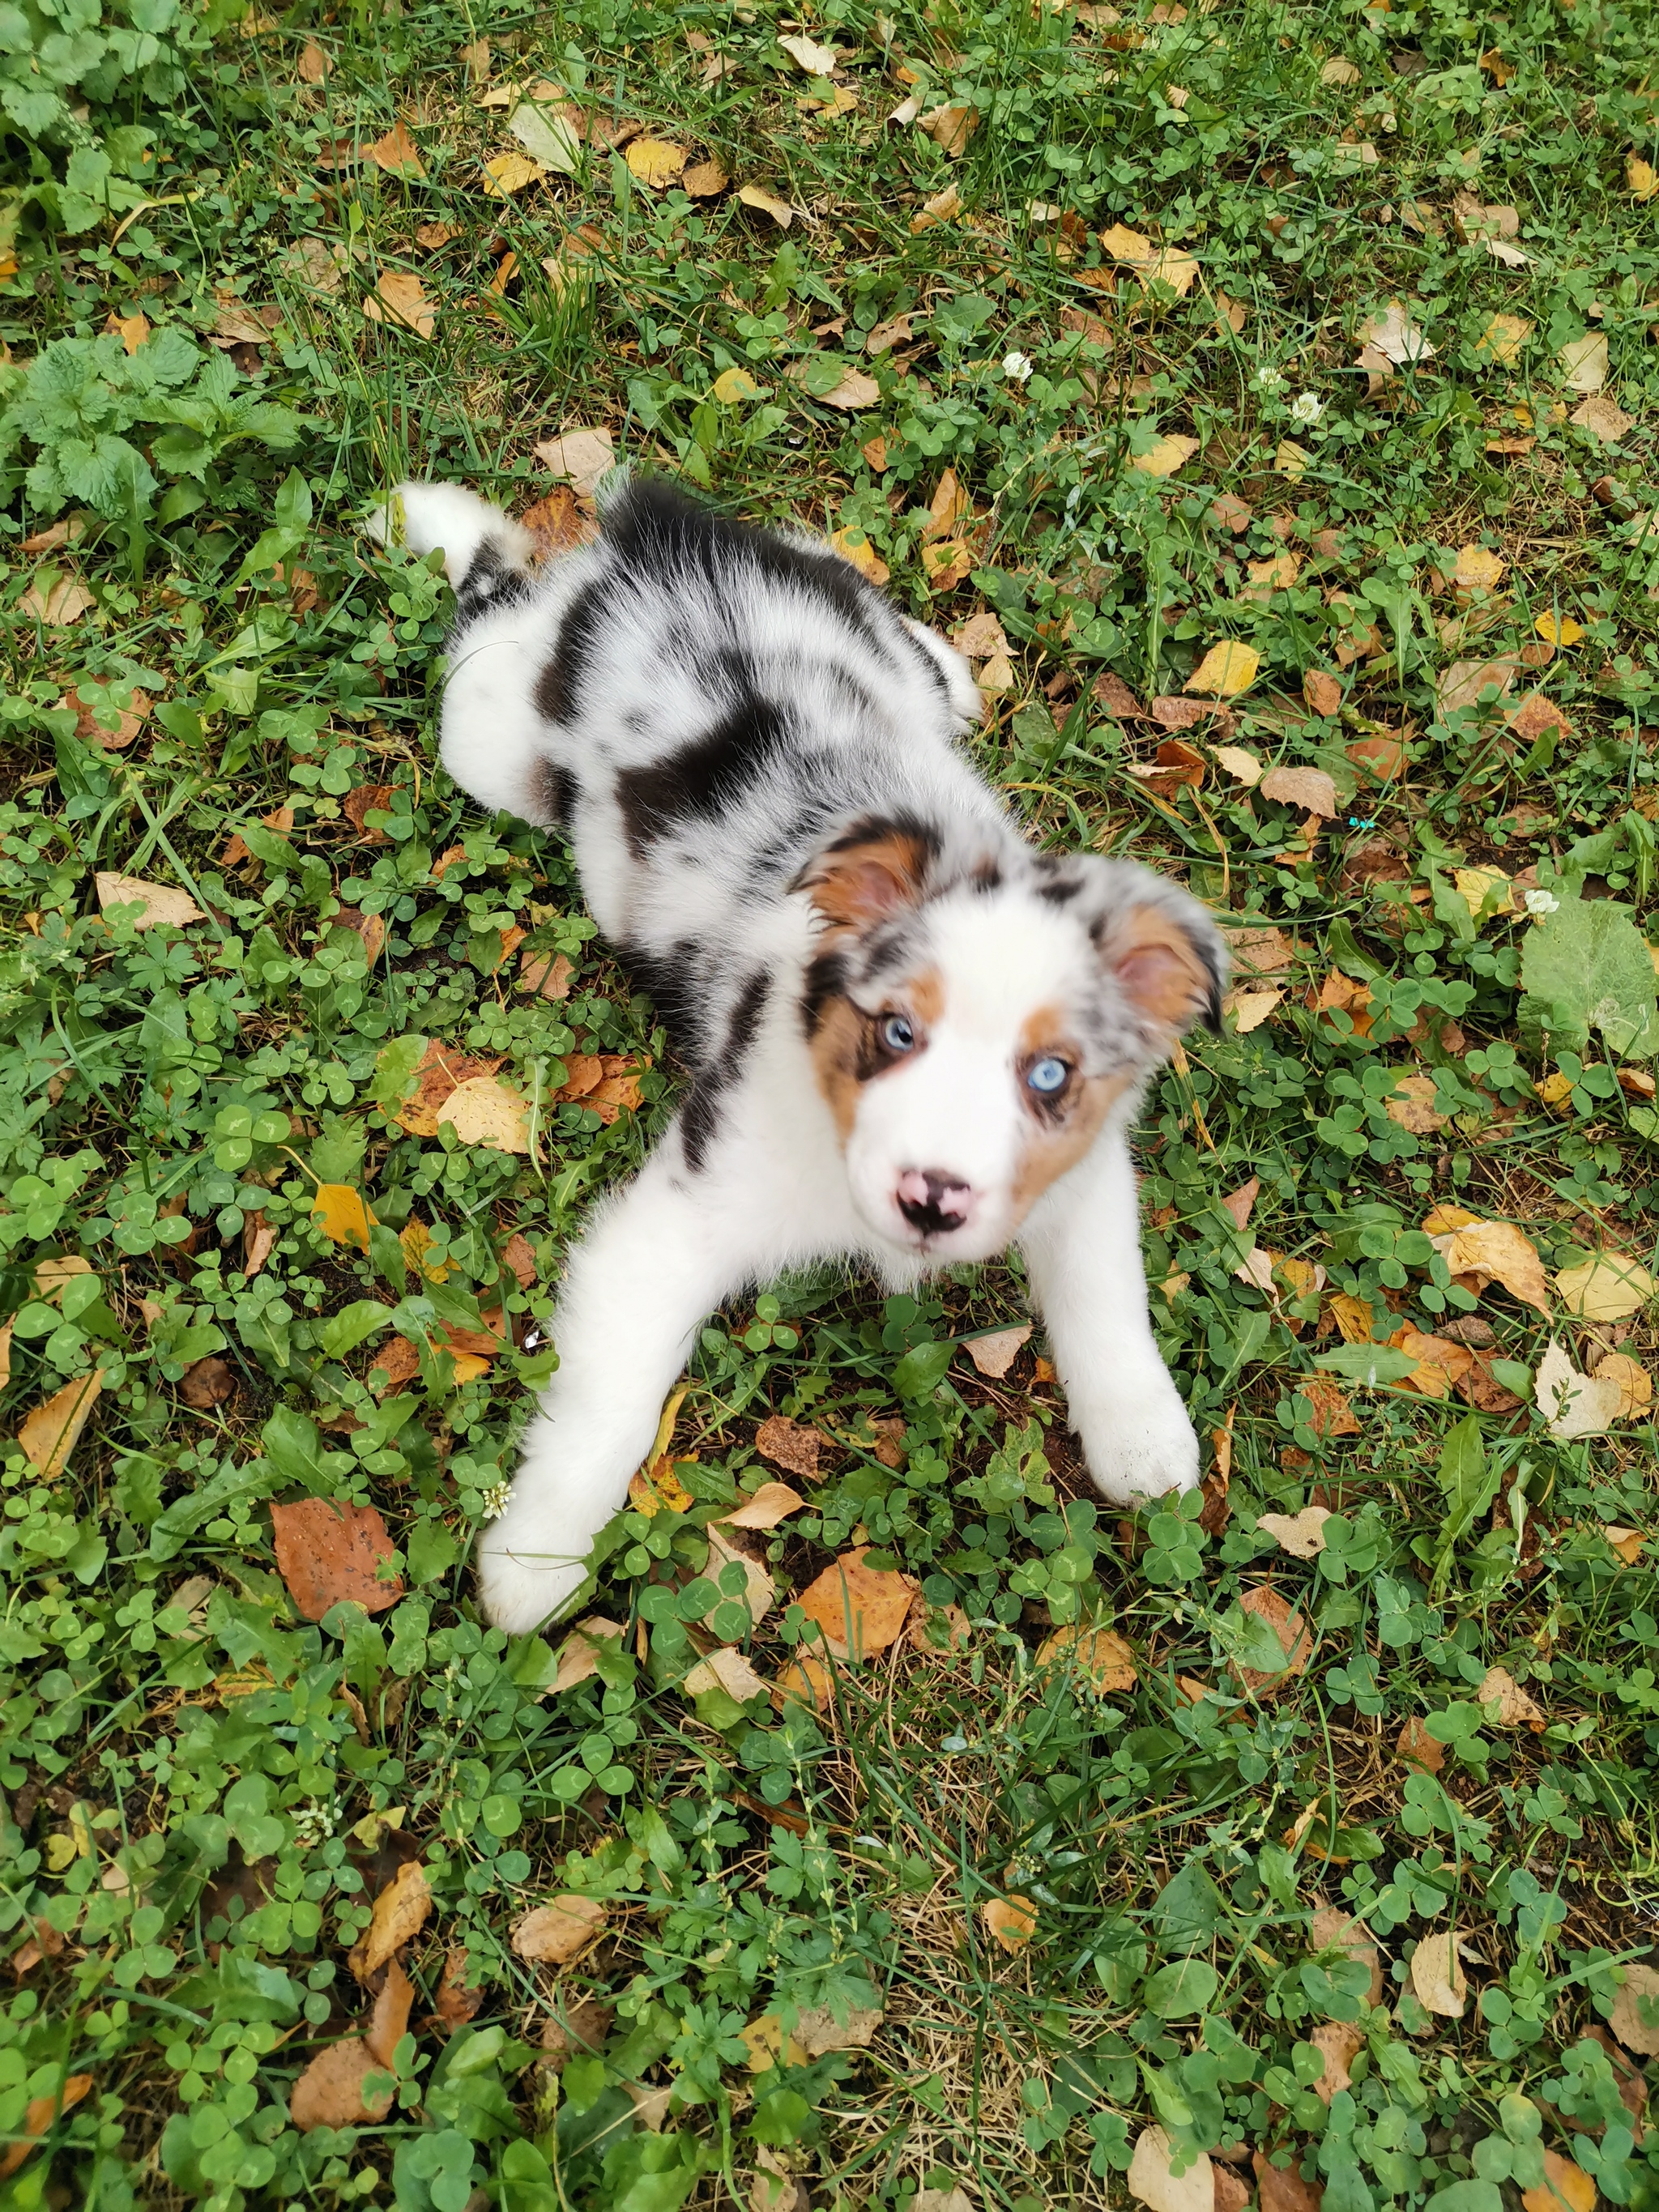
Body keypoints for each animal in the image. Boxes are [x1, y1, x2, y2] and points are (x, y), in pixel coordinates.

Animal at [382, 475, 1230, 1636]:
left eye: (1047, 1074)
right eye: (896, 1032)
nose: (933, 1200)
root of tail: (648, 540)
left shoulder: (1080, 1167)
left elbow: (1107, 1298)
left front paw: (1144, 1445)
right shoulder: (679, 1215)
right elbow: (610, 1398)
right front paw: (533, 1562)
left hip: (826, 601)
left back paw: (950, 668)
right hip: (489, 736)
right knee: (485, 611)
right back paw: (449, 526)